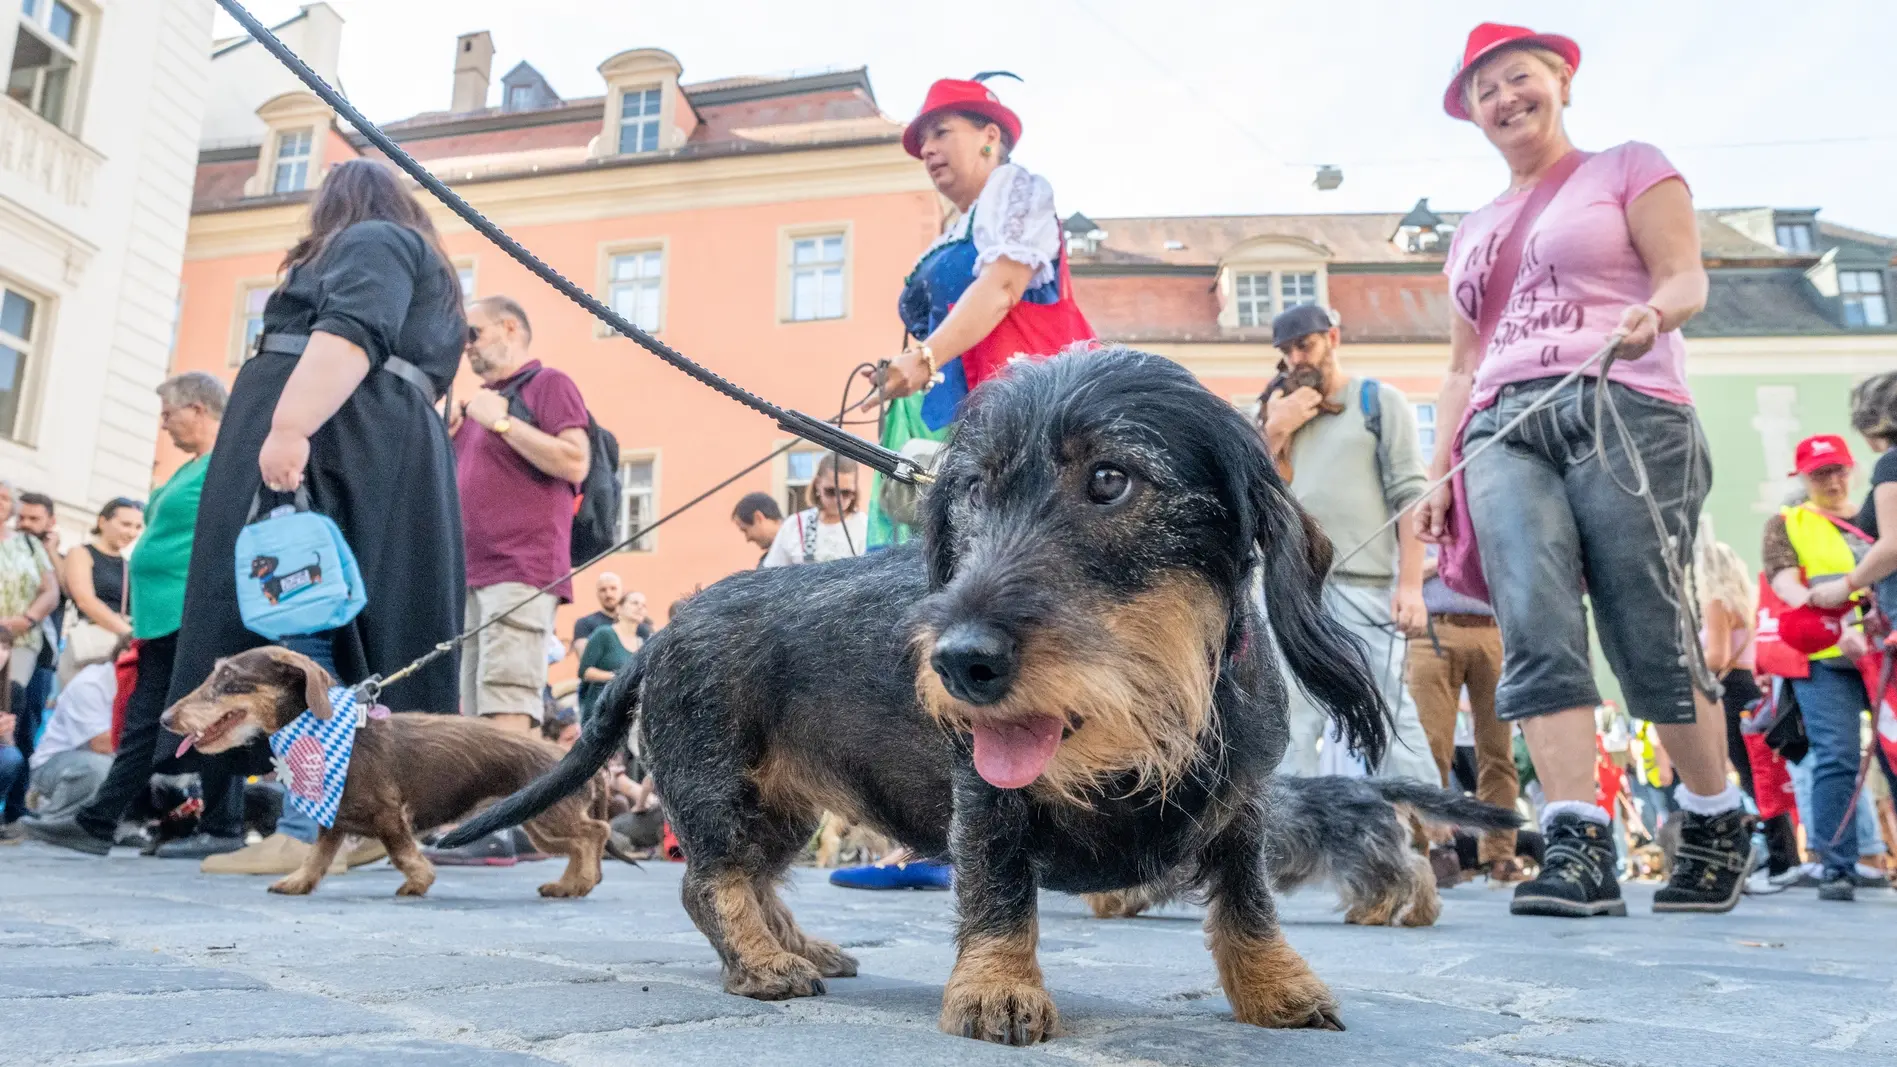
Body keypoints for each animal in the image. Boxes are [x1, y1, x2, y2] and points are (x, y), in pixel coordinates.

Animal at [163, 645, 610, 892]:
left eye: (229, 678)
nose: (166, 719)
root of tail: (578, 751)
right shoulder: (333, 820)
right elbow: (317, 857)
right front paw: (297, 882)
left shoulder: (390, 815)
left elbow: (401, 853)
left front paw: (418, 881)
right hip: (538, 823)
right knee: (579, 844)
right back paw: (571, 884)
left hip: (551, 817)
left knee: (595, 833)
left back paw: (582, 879)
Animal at [1085, 767, 1525, 926]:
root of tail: (1374, 784)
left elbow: (1131, 885)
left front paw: (1110, 902)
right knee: (1418, 868)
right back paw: (1419, 913)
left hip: (1359, 857)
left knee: (1401, 876)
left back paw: (1374, 914)